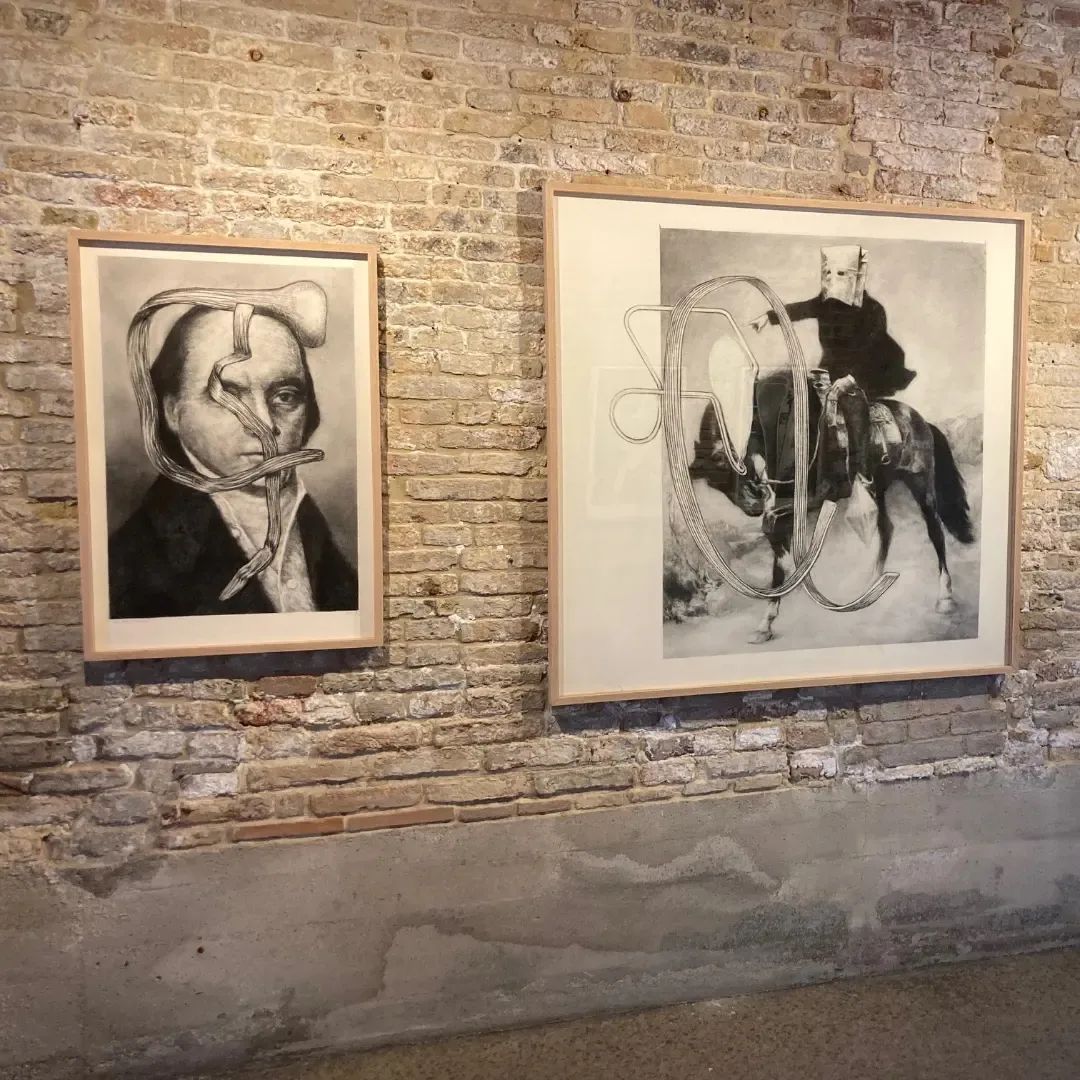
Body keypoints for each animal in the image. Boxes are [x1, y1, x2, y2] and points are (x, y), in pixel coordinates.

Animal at [689, 369, 975, 644]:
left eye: (721, 459)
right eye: (713, 481)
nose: (752, 505)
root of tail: (921, 421)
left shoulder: (813, 499)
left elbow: (774, 533)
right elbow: (776, 543)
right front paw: (765, 623)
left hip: (920, 482)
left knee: (935, 531)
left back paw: (945, 597)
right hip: (878, 486)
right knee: (886, 528)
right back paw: (871, 587)